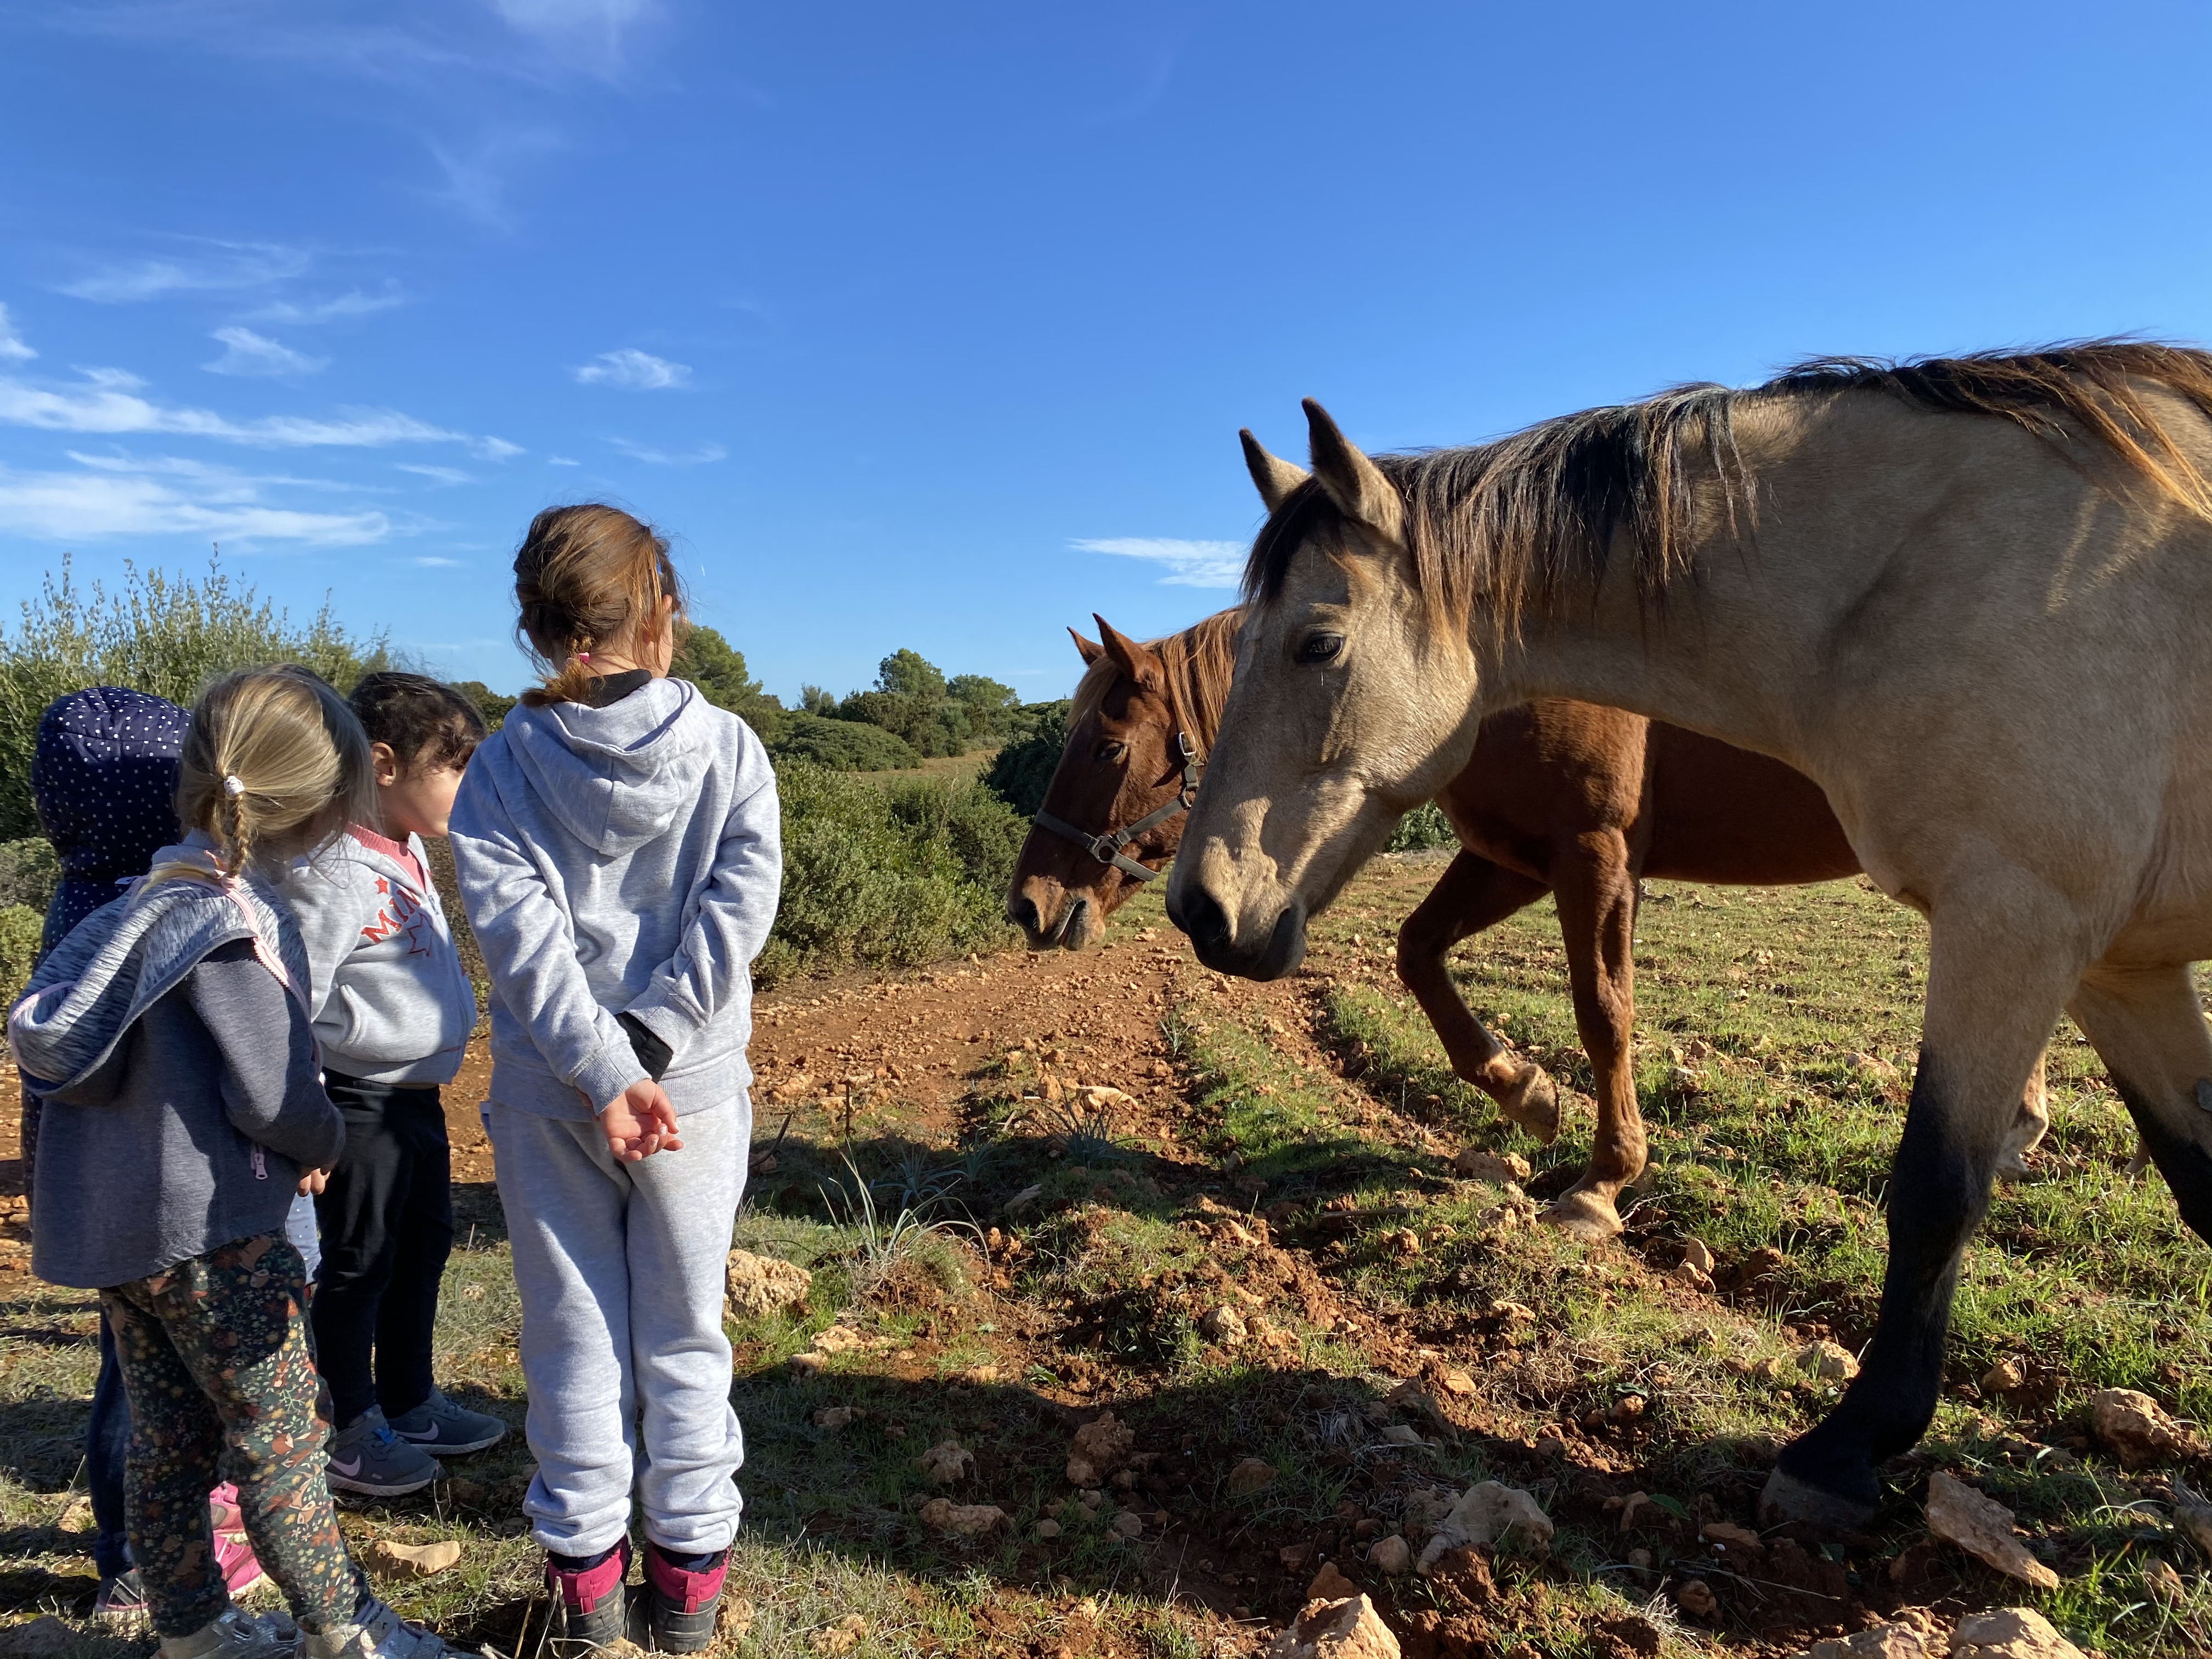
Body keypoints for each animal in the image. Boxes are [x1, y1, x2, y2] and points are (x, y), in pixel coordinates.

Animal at [1013, 592, 2044, 1238]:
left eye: (1107, 747)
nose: (1030, 902)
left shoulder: (1593, 854)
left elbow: (1602, 1011)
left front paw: (1602, 1180)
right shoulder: (1507, 859)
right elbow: (1417, 953)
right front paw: (1525, 1091)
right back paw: (2021, 1123)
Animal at [1167, 347, 2212, 1531]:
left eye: (1319, 642)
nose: (1199, 906)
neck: (1917, 571)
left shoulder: (2007, 912)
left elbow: (1922, 1177)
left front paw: (1842, 1437)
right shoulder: (2121, 963)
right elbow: (1422, 956)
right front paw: (1532, 1098)